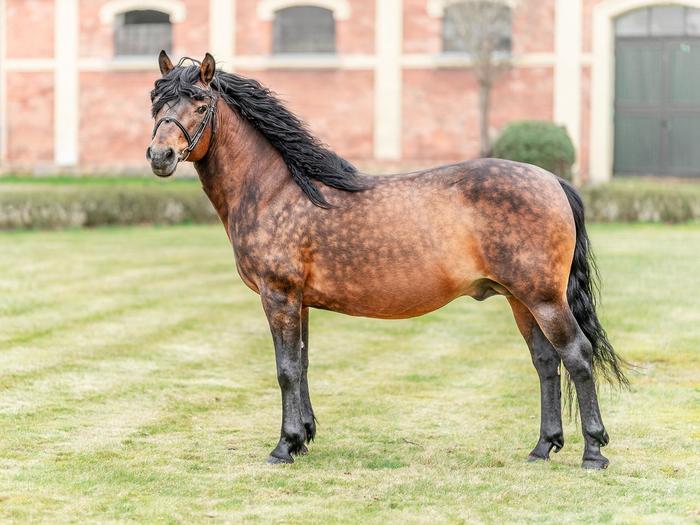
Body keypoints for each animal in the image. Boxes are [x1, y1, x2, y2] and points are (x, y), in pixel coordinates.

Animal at [146, 51, 628, 469]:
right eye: (156, 102)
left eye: (200, 103)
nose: (159, 156)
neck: (277, 190)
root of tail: (552, 180)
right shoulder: (298, 301)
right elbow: (302, 364)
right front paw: (303, 437)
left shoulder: (278, 295)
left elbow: (285, 369)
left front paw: (285, 445)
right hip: (520, 299)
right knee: (546, 362)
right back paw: (543, 447)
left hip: (544, 298)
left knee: (577, 356)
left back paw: (593, 452)